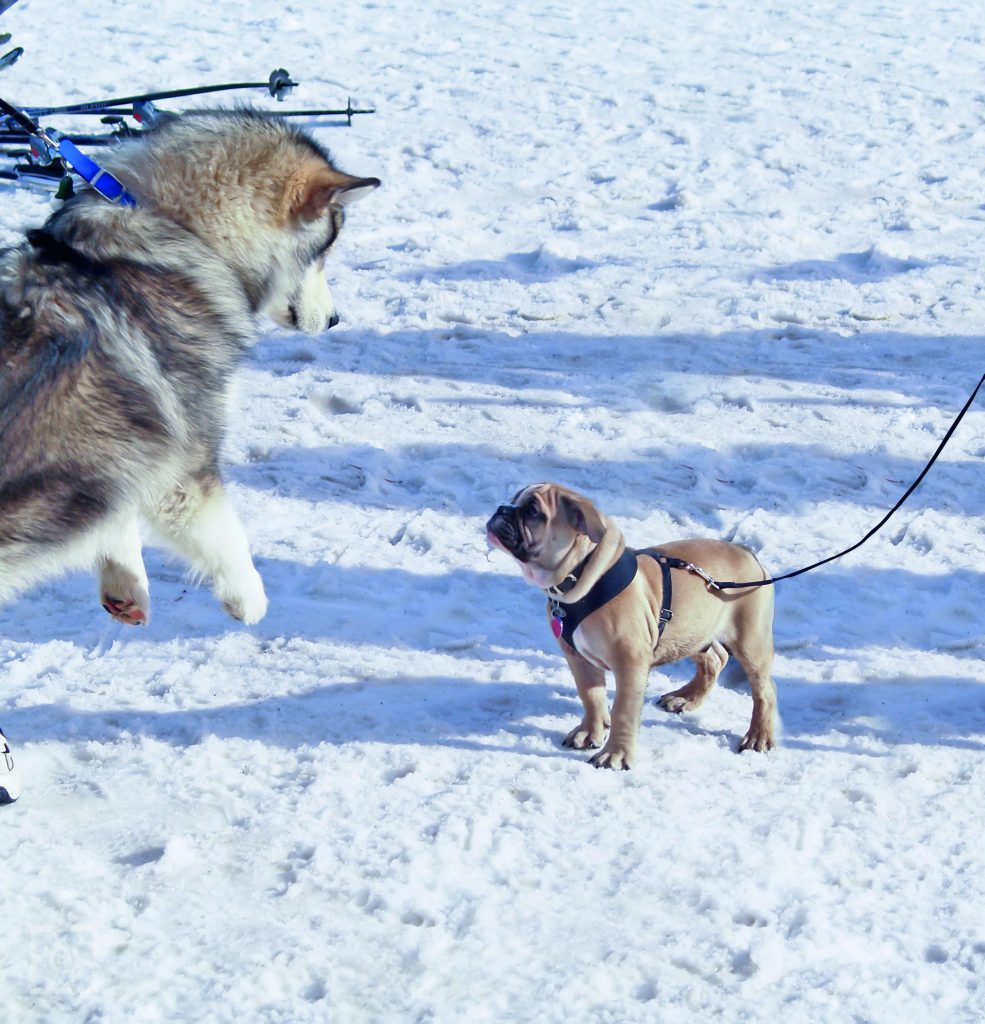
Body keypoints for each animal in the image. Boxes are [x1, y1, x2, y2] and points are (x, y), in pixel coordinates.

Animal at [483, 485, 774, 770]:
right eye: (513, 500)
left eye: (533, 511)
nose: (502, 508)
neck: (581, 578)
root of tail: (748, 553)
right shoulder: (577, 658)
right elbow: (591, 695)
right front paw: (590, 731)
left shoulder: (630, 663)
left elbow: (623, 710)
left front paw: (615, 755)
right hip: (693, 630)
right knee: (715, 659)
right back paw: (685, 698)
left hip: (750, 641)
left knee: (764, 690)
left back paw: (758, 735)